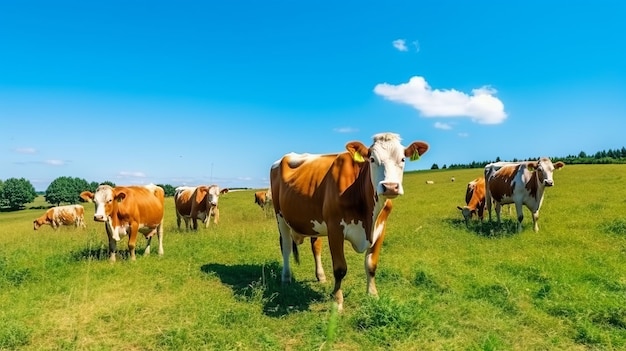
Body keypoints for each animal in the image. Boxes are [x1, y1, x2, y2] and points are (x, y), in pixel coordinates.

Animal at [270, 133, 428, 312]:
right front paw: (338, 302)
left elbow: (371, 265)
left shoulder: (380, 228)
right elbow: (340, 269)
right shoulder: (335, 229)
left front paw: (373, 295)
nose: (390, 187)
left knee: (315, 246)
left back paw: (320, 276)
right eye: (372, 159)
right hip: (280, 216)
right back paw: (286, 278)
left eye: (402, 159)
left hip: (313, 222)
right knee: (286, 247)